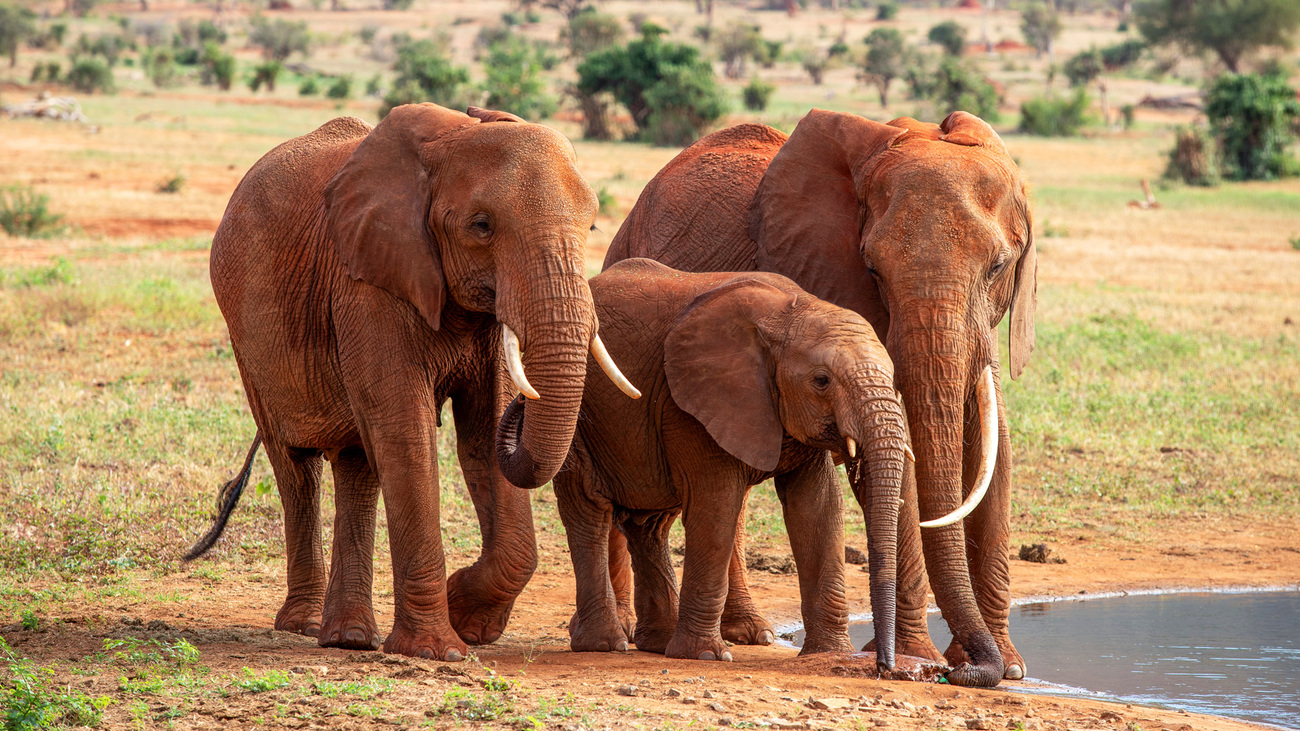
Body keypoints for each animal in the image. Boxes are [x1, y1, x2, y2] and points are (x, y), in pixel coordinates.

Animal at [187, 104, 639, 660]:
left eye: (592, 224)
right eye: (481, 226)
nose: (527, 397)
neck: (453, 138)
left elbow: (482, 434)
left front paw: (469, 621)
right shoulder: (368, 282)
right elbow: (407, 431)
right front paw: (439, 649)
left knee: (357, 464)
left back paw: (348, 638)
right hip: (247, 340)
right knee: (296, 466)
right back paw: (306, 626)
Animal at [517, 258, 904, 663]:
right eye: (822, 380)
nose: (884, 665)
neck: (788, 313)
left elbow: (818, 508)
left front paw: (828, 654)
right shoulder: (690, 405)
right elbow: (717, 507)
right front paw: (705, 655)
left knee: (649, 524)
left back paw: (657, 643)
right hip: (577, 417)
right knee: (589, 508)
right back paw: (605, 644)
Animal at [603, 107, 1040, 681]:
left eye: (997, 268)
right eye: (872, 269)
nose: (959, 670)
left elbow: (995, 452)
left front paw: (1006, 669)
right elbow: (893, 465)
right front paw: (922, 660)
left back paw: (747, 632)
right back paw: (642, 632)